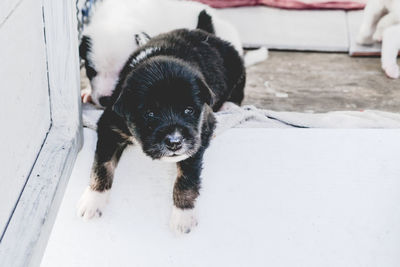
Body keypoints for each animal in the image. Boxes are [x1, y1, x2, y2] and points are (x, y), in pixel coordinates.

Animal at [76, 12, 245, 234]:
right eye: (150, 114)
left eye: (189, 110)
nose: (174, 142)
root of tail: (205, 32)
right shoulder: (109, 126)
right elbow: (102, 163)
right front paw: (93, 200)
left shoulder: (199, 134)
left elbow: (187, 176)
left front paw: (183, 215)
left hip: (237, 68)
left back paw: (229, 105)